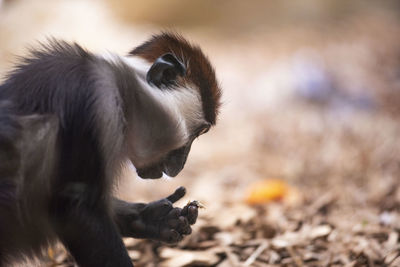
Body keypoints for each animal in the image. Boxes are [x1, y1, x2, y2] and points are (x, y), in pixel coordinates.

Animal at [0, 32, 220, 266]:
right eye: (196, 133)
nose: (178, 167)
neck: (121, 88)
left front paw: (151, 219)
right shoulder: (92, 103)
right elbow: (77, 209)